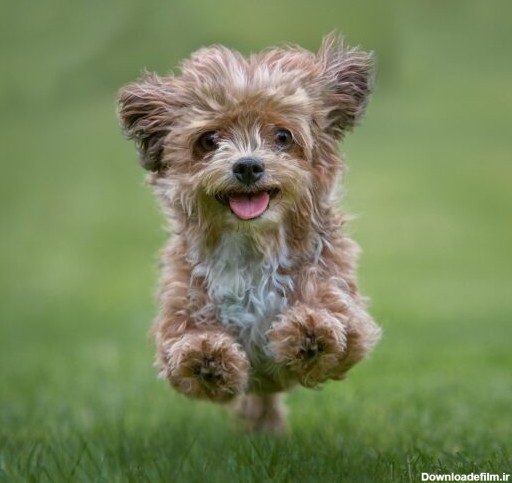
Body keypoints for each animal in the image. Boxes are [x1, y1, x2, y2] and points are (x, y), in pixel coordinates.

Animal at [118, 33, 381, 432]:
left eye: (283, 136)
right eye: (209, 139)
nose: (247, 166)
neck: (251, 244)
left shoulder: (344, 307)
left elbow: (333, 320)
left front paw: (310, 331)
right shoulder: (179, 312)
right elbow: (185, 349)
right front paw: (207, 358)